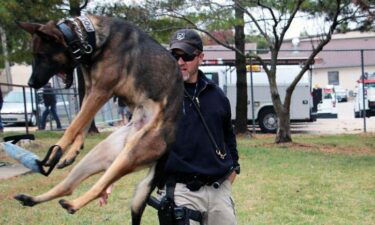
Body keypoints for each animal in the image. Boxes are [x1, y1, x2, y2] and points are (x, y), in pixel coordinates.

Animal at [16, 14, 184, 224]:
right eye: (34, 55)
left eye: (41, 56)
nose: (31, 83)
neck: (89, 39)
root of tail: (169, 146)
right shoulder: (90, 91)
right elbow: (82, 123)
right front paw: (70, 151)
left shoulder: (101, 91)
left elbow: (74, 125)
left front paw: (58, 149)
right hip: (102, 154)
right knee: (68, 187)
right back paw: (32, 199)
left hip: (129, 155)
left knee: (98, 187)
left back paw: (73, 205)